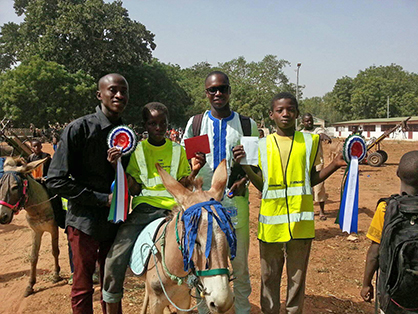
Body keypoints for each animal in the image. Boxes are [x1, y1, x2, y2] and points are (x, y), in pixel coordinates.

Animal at [0, 157, 61, 296]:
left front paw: (56, 274)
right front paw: (30, 285)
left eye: (15, 187)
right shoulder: (35, 231)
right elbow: (33, 257)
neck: (39, 207)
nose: (2, 216)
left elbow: (55, 251)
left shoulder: (53, 229)